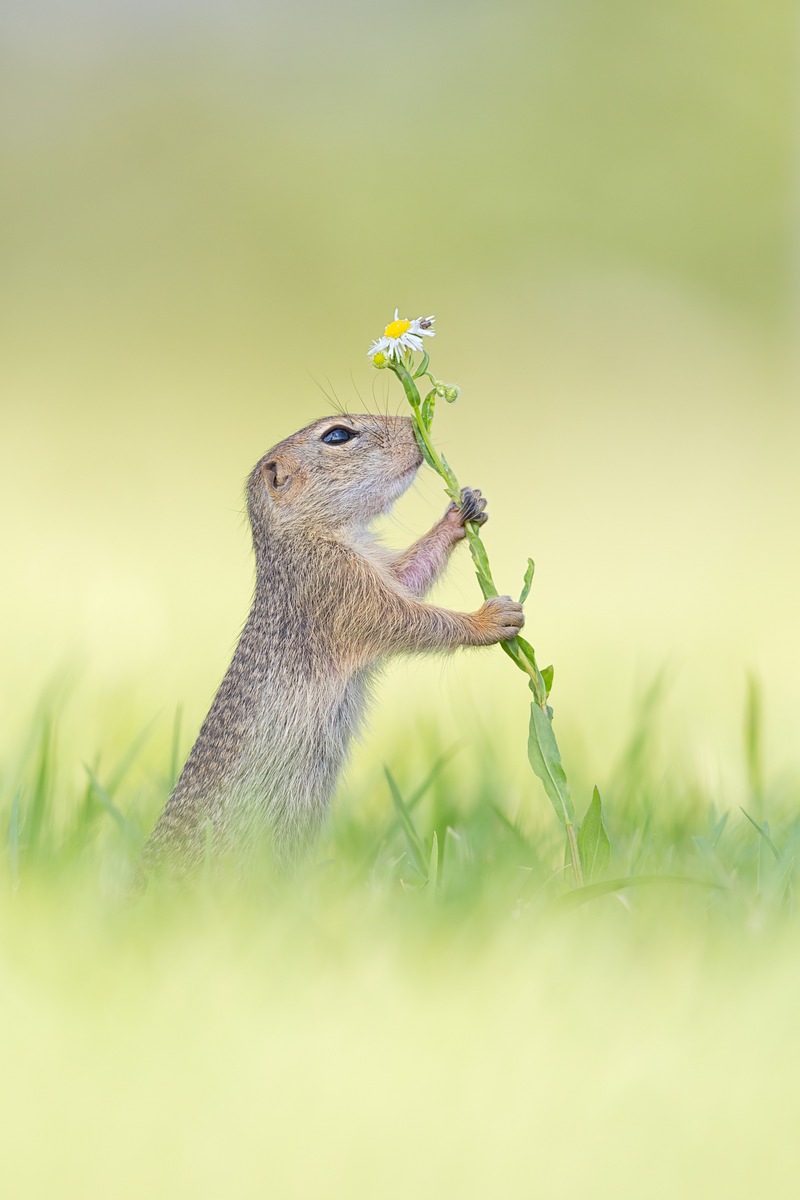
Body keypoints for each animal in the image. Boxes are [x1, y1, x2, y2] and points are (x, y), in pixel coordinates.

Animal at [140, 417, 522, 878]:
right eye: (338, 435)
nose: (413, 424)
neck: (307, 535)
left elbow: (410, 573)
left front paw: (461, 511)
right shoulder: (339, 586)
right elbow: (408, 618)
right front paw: (491, 619)